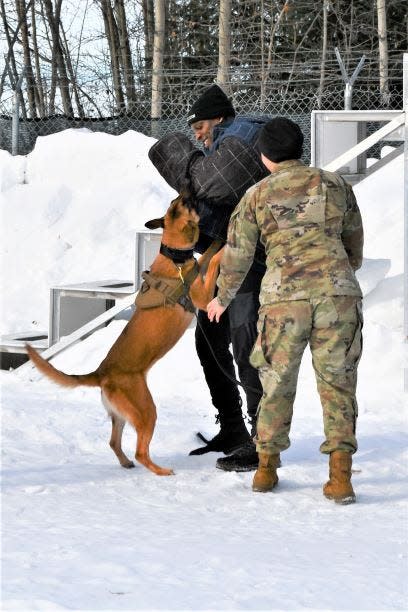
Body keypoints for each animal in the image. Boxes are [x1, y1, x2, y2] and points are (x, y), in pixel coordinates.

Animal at [26, 194, 223, 476]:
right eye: (184, 203)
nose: (190, 191)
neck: (174, 257)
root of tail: (101, 373)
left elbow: (206, 256)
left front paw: (217, 243)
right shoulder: (203, 298)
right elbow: (213, 260)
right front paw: (224, 246)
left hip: (121, 414)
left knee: (114, 442)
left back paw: (125, 462)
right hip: (146, 410)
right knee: (141, 452)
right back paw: (160, 470)